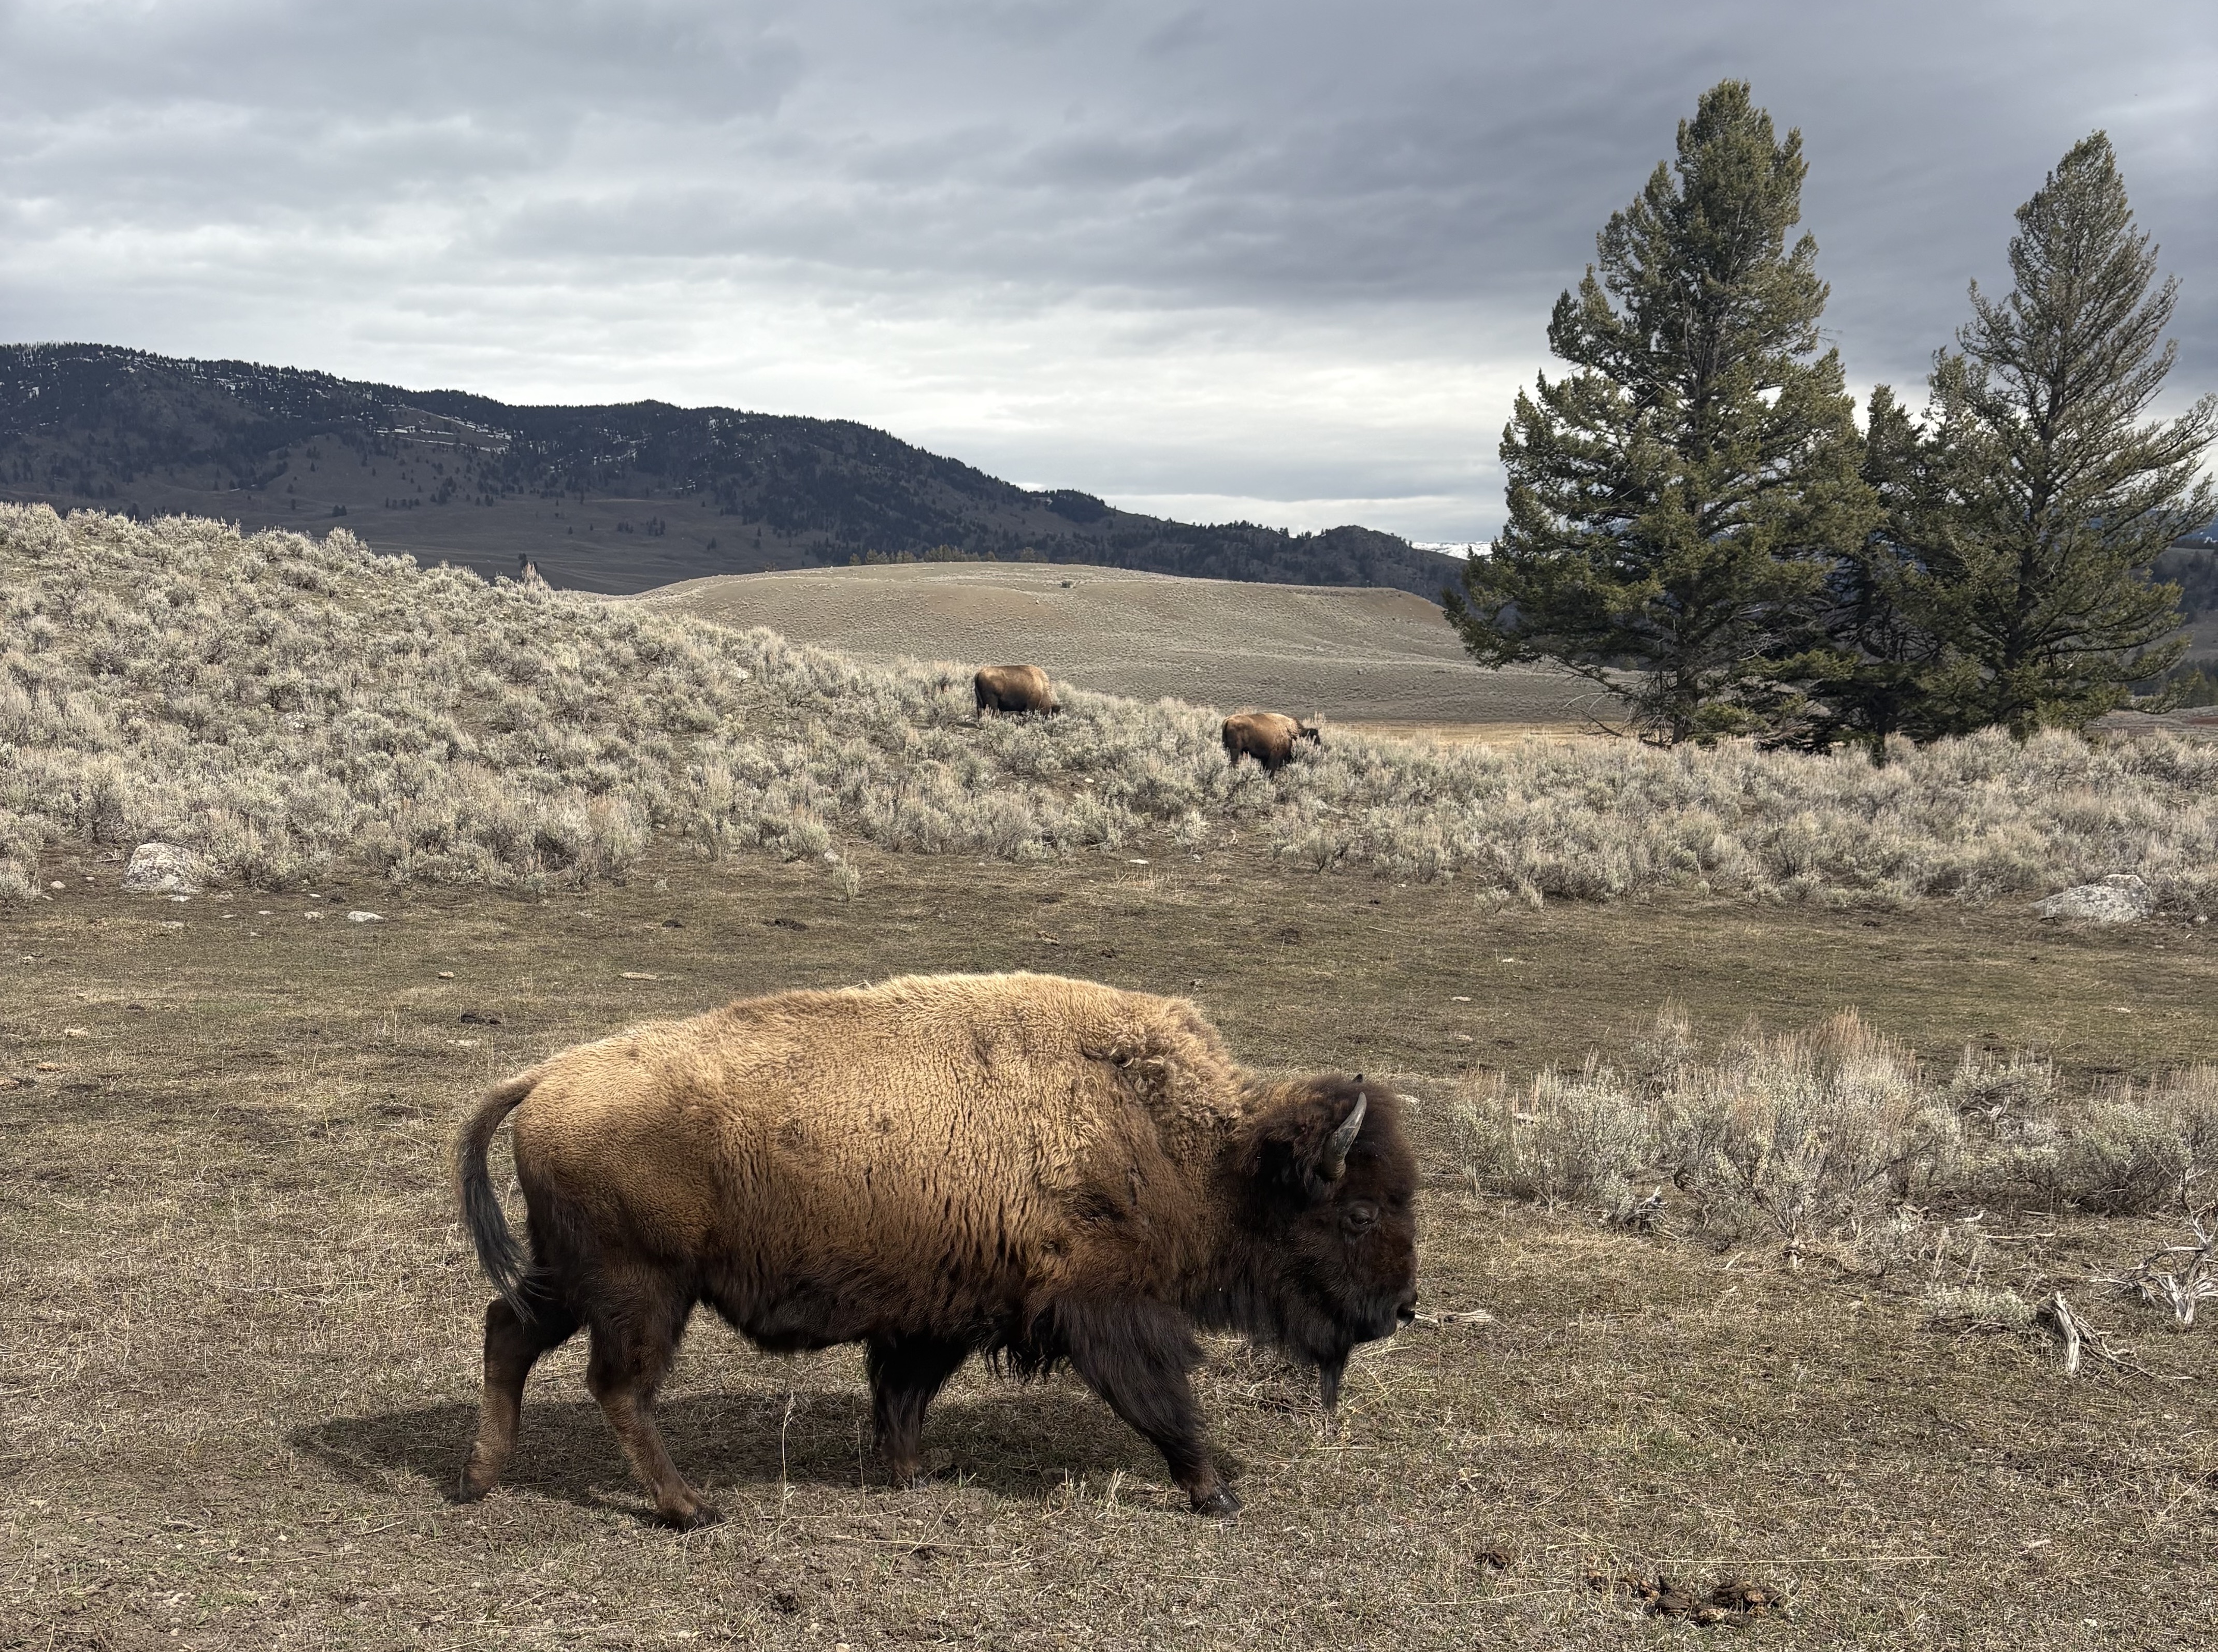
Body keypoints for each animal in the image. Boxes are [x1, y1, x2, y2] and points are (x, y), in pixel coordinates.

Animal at [456, 972, 1416, 1525]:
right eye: (1359, 1214)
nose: (1404, 1306)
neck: (1191, 1144)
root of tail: (543, 1078)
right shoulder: (1107, 1311)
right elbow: (1164, 1401)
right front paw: (1213, 1491)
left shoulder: (941, 1313)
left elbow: (903, 1396)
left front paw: (911, 1473)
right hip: (642, 1290)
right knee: (618, 1387)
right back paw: (689, 1506)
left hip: (572, 1276)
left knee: (508, 1331)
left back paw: (480, 1478)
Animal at [973, 663, 1060, 718]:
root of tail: (980, 672)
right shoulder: (1029, 707)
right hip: (992, 703)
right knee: (992, 712)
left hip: (979, 700)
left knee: (979, 710)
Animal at [1221, 710, 1322, 773]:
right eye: (1314, 740)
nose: (1319, 751)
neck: (1290, 733)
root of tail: (1228, 720)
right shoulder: (1274, 757)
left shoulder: (1265, 759)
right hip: (1235, 750)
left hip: (1226, 748)